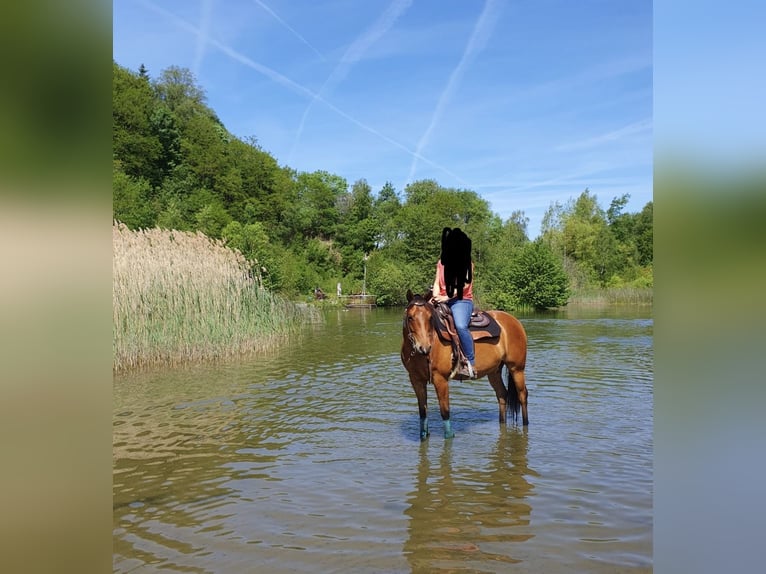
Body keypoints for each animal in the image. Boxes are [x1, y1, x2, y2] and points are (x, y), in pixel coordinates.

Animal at [401, 289, 529, 440]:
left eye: (430, 318)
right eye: (410, 317)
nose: (424, 347)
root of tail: (514, 321)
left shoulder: (440, 379)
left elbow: (445, 412)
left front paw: (449, 435)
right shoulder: (416, 379)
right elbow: (423, 412)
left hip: (516, 368)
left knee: (522, 395)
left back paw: (526, 424)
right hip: (494, 371)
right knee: (502, 394)